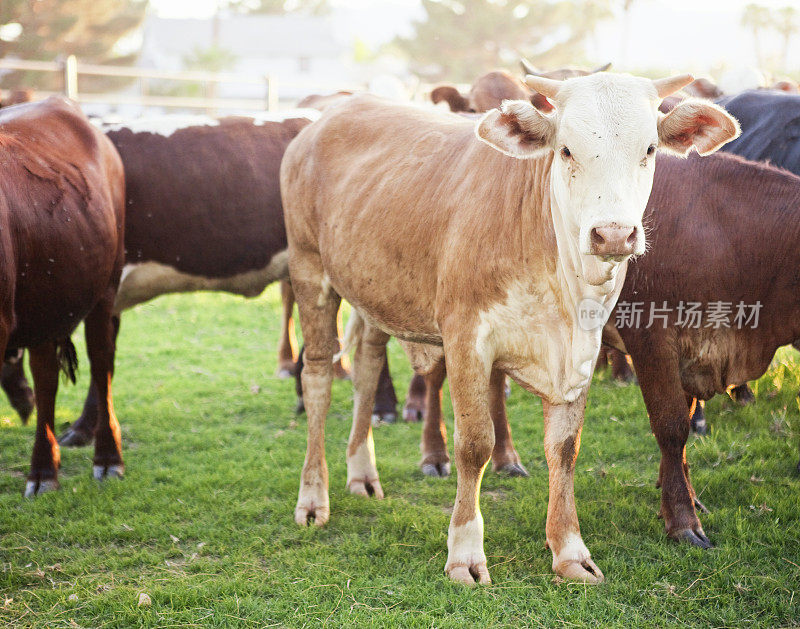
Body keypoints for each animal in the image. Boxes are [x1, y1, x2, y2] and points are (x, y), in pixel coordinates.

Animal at [0, 95, 126, 494]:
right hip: (45, 303)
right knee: (46, 378)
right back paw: (43, 471)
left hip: (106, 288)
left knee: (102, 364)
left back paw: (108, 459)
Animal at [278, 72, 740, 584]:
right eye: (566, 150)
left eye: (650, 149)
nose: (613, 234)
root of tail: (323, 120)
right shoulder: (466, 339)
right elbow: (475, 443)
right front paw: (464, 554)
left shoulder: (581, 349)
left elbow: (564, 448)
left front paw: (570, 551)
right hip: (309, 271)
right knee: (318, 377)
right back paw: (313, 498)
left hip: (373, 291)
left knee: (365, 368)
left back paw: (362, 473)